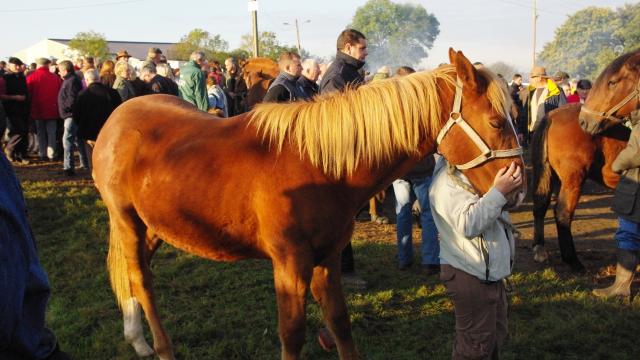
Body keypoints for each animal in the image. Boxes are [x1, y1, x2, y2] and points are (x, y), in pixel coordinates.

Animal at [95, 48, 524, 360]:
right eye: (497, 122)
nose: (517, 186)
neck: (315, 162)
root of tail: (117, 117)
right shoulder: (289, 263)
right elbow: (292, 333)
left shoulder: (327, 257)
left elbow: (339, 323)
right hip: (127, 220)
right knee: (142, 280)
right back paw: (160, 347)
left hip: (155, 225)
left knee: (134, 273)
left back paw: (136, 337)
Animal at [528, 102, 632, 272]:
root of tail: (552, 115)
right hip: (573, 180)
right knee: (562, 213)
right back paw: (573, 261)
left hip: (549, 175)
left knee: (540, 206)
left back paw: (540, 248)